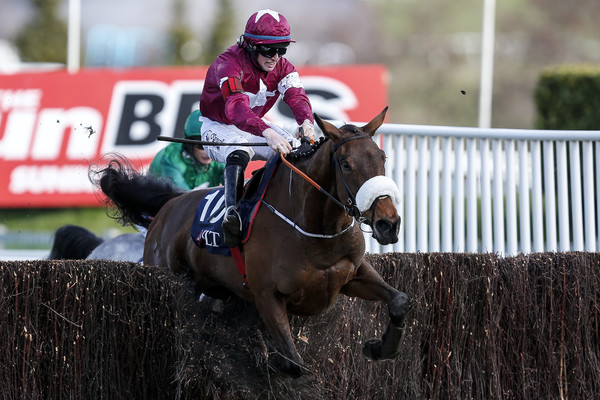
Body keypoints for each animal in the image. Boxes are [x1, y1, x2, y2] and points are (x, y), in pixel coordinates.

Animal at [93, 107, 409, 377]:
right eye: (346, 164)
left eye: (382, 158)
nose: (388, 224)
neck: (315, 228)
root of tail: (169, 205)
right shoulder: (266, 295)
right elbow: (295, 363)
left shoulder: (352, 273)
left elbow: (400, 300)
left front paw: (380, 348)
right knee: (237, 152)